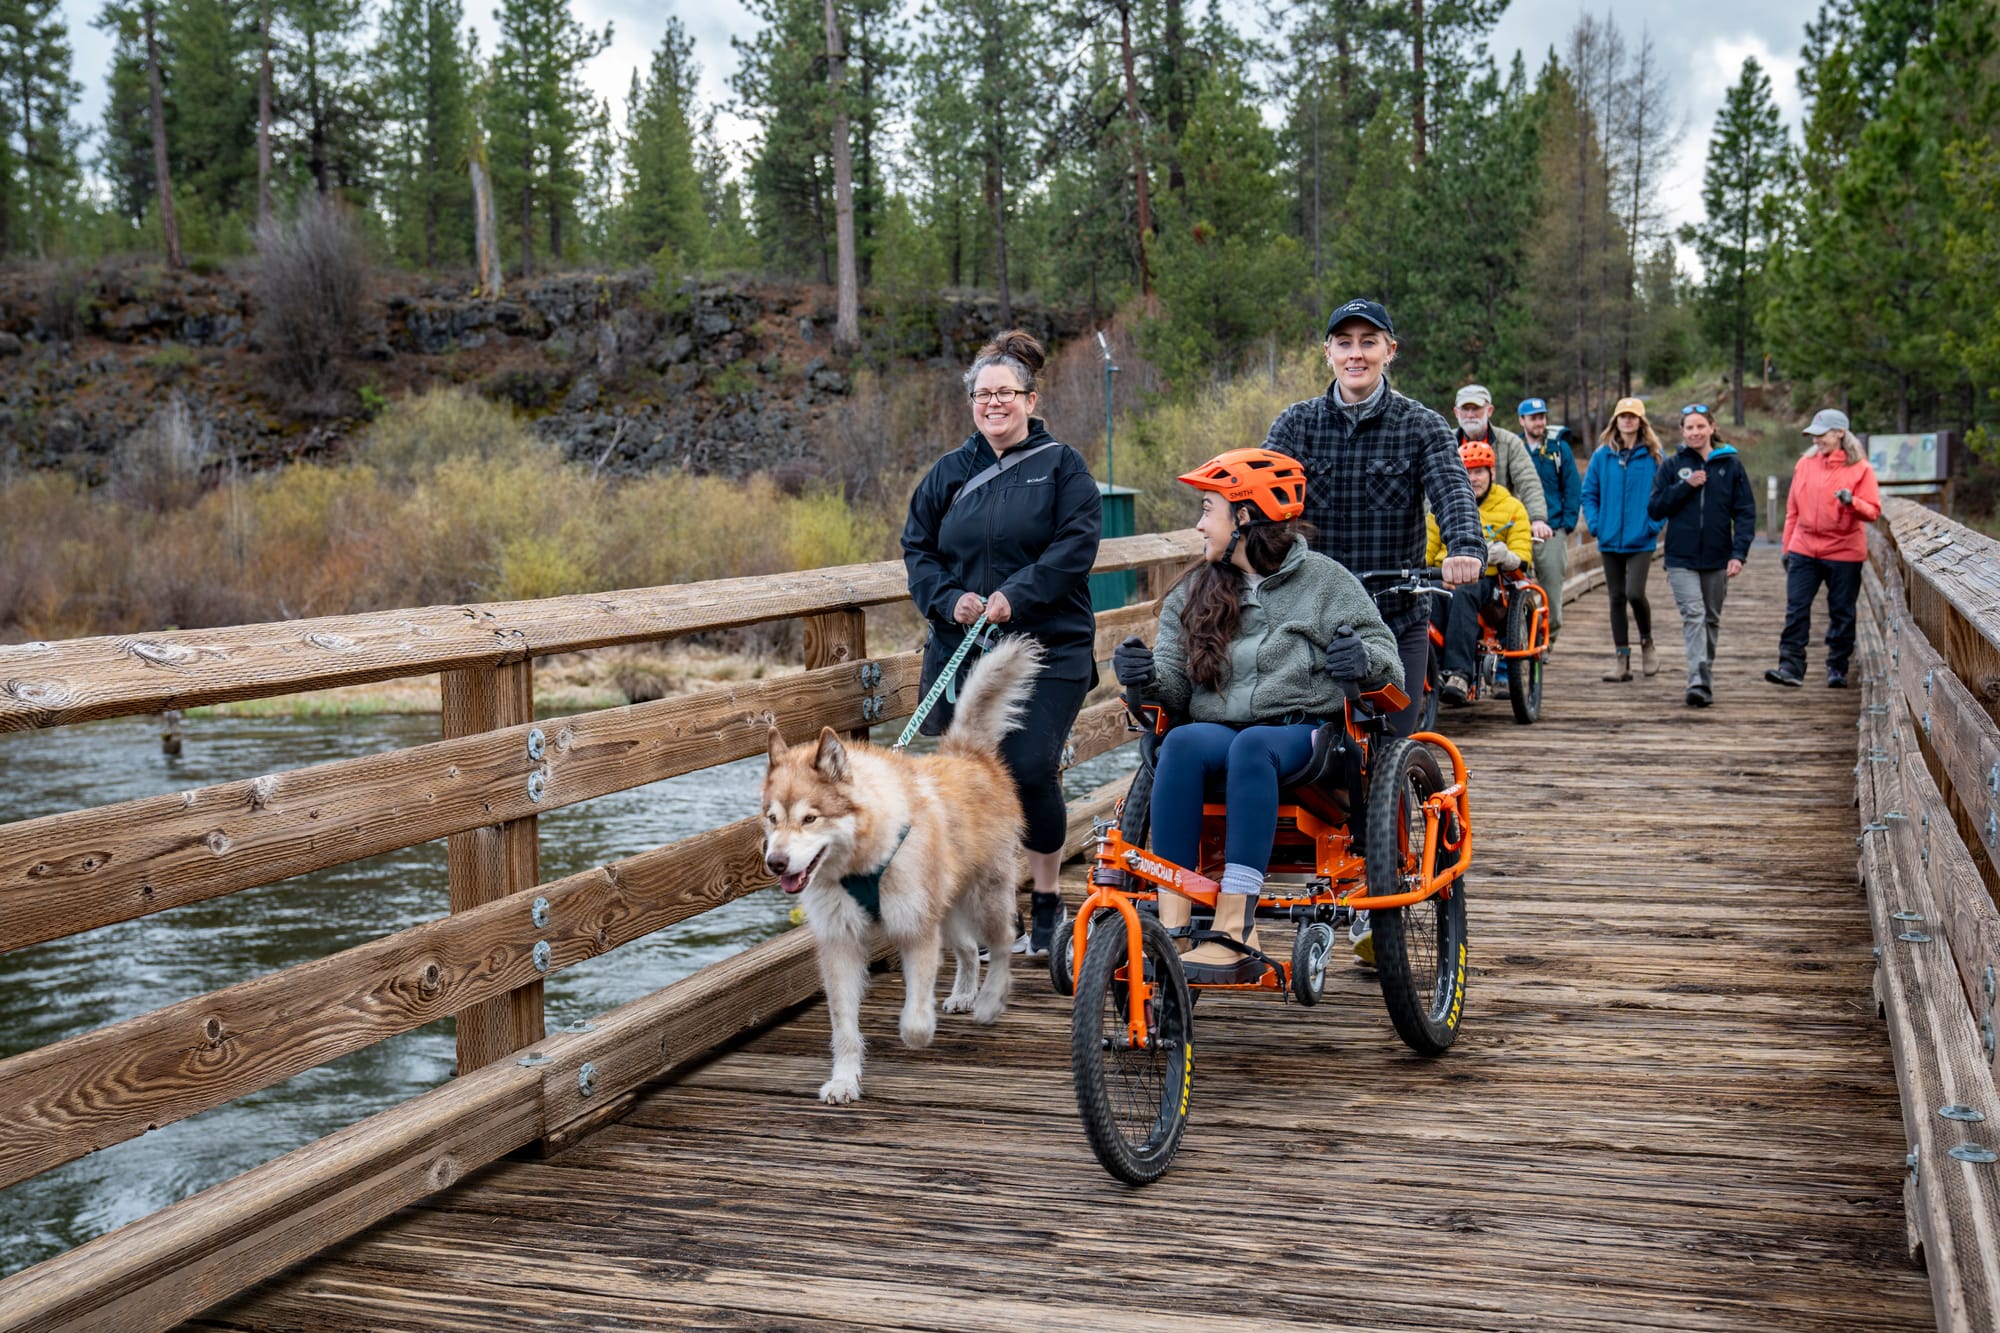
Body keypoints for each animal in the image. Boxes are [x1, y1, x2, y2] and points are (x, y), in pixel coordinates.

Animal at [764, 632, 1048, 1096]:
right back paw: (965, 993)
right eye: (772, 818)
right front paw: (844, 1079)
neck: (863, 859)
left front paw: (918, 1031)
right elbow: (843, 1025)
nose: (776, 862)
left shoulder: (915, 928)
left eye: (810, 818)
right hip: (946, 908)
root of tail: (967, 752)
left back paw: (988, 1001)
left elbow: (914, 1018)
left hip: (984, 899)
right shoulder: (841, 942)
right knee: (968, 949)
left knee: (1002, 945)